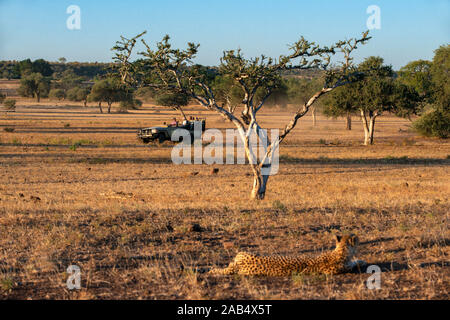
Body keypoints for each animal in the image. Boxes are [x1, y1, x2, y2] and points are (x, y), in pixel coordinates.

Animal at [210, 234, 366, 276]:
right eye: (355, 238)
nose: (358, 237)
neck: (341, 250)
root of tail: (238, 264)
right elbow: (354, 263)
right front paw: (362, 261)